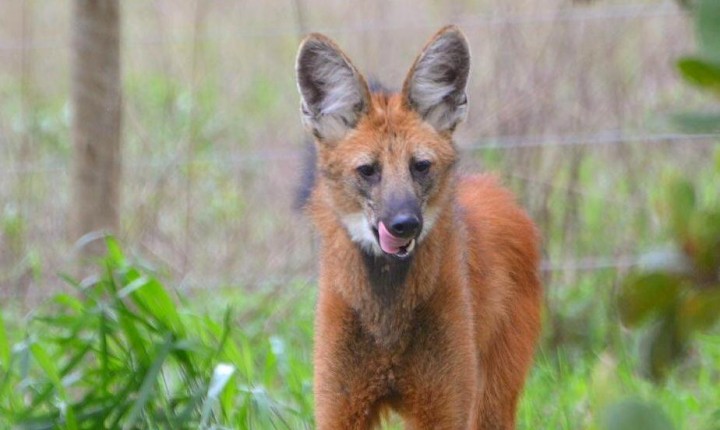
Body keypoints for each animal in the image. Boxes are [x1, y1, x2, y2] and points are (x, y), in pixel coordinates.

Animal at [295, 25, 542, 429]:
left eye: (420, 166)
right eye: (368, 170)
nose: (404, 224)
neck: (388, 319)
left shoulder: (445, 407)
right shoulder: (340, 407)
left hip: (491, 394)